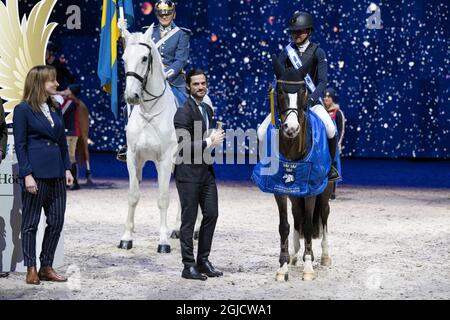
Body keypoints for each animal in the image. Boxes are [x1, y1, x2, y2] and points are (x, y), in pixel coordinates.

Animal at [118, 25, 178, 252]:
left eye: (145, 58)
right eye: (124, 58)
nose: (131, 96)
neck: (150, 111)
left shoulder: (165, 160)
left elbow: (162, 198)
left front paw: (163, 241)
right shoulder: (133, 158)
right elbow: (133, 196)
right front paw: (127, 237)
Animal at [268, 56, 334, 282]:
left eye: (304, 91)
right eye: (280, 91)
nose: (291, 129)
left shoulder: (313, 188)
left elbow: (308, 224)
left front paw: (308, 267)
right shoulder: (279, 189)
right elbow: (284, 226)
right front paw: (283, 266)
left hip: (326, 190)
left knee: (323, 215)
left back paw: (323, 256)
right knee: (297, 214)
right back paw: (296, 255)